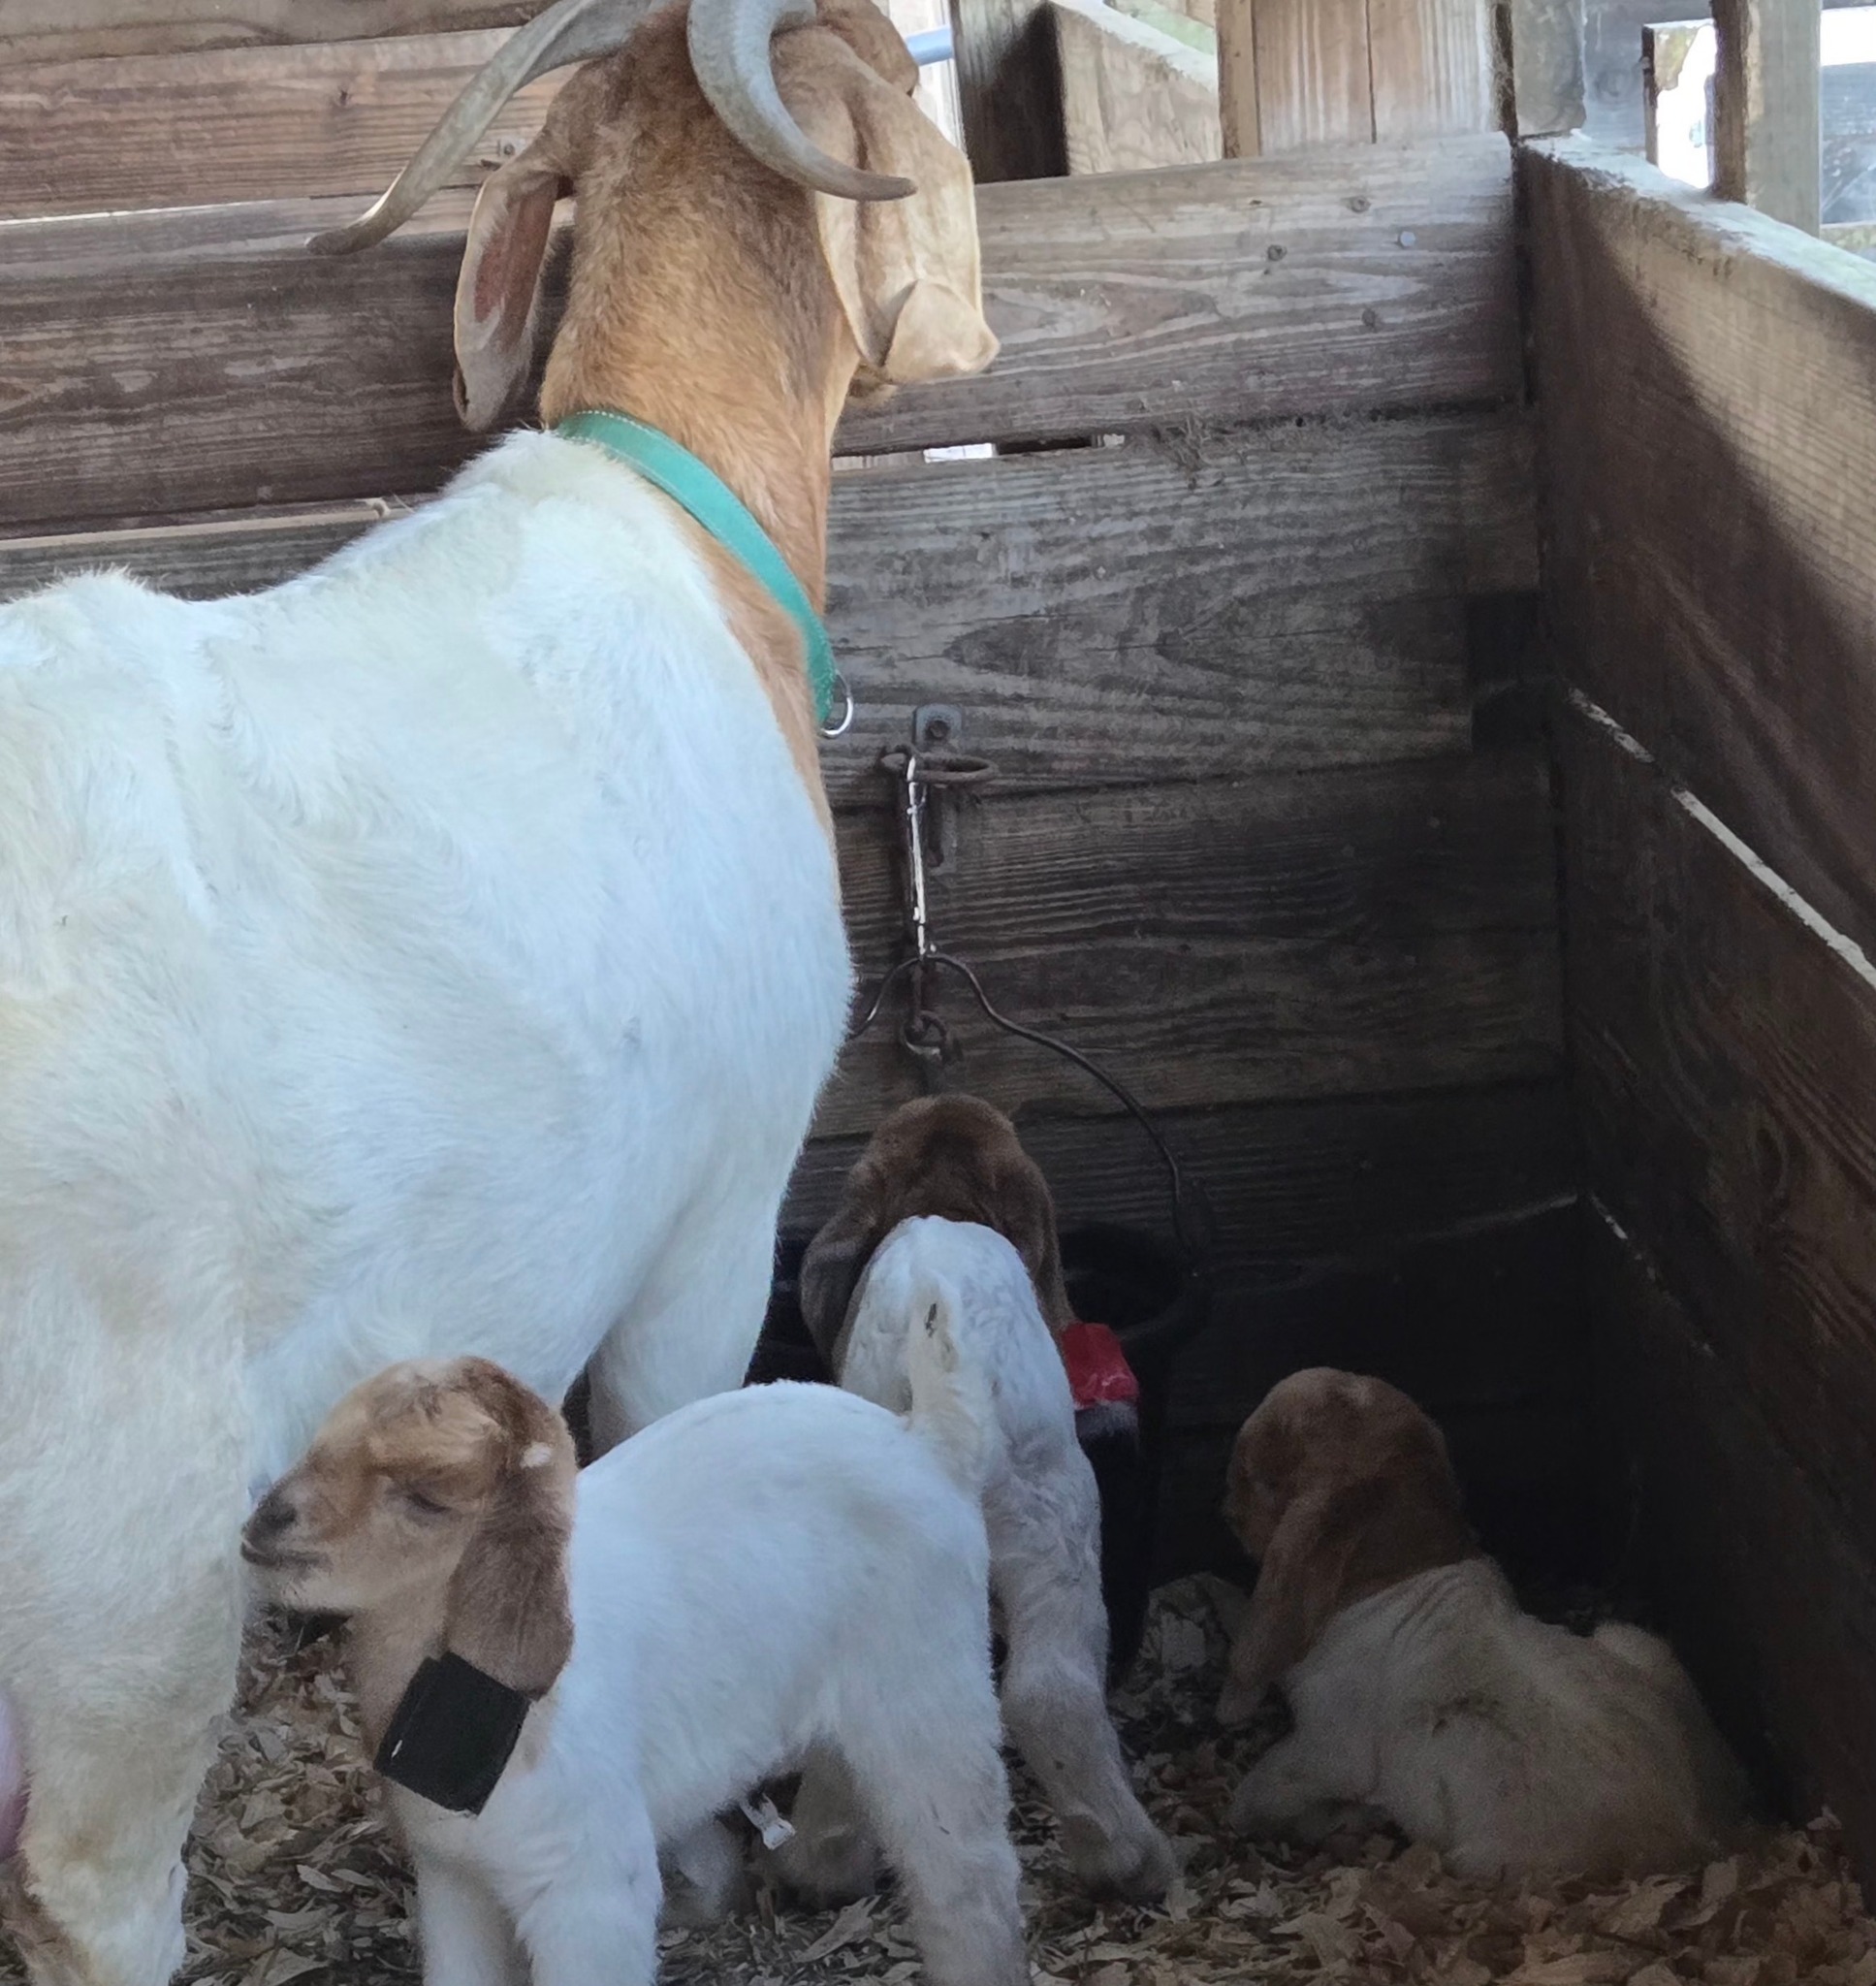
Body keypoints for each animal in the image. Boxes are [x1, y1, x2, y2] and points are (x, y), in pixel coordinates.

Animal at [243, 1350, 1028, 1986]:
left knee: (969, 1877)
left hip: (931, 1688)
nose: (261, 1522)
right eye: (321, 1437)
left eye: (426, 1497)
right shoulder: (453, 1879)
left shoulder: (590, 1894)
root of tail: (925, 1439)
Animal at [1219, 1369, 1749, 1880]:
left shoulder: (1331, 1746)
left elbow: (1262, 1788)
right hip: (1628, 1639)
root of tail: (1704, 1841)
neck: (1401, 1570)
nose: (1229, 1514)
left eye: (1259, 1478)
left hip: (1480, 1861)